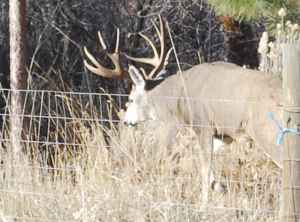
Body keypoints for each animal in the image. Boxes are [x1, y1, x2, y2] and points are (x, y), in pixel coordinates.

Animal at [84, 16, 284, 198]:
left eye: (131, 99)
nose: (125, 121)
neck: (179, 96)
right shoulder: (224, 134)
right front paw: (219, 189)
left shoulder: (203, 125)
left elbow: (204, 169)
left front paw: (204, 204)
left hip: (269, 133)